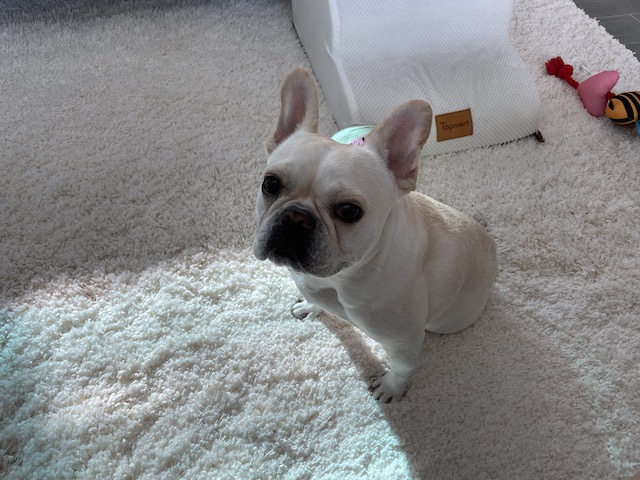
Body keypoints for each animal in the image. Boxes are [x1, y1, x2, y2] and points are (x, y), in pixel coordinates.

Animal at [253, 68, 497, 403]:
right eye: (270, 184)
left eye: (349, 211)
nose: (295, 217)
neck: (339, 279)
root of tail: (490, 243)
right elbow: (315, 300)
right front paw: (311, 307)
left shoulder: (404, 341)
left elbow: (403, 367)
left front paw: (391, 387)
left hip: (451, 320)